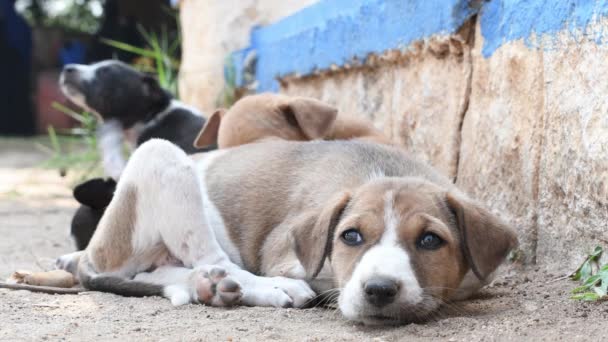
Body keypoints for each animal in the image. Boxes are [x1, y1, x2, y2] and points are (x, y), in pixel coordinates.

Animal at [54, 140, 516, 326]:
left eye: (430, 241)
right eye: (350, 237)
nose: (379, 290)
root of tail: (90, 252)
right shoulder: (283, 252)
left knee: (159, 271)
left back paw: (207, 286)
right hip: (159, 153)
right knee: (213, 259)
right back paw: (252, 287)